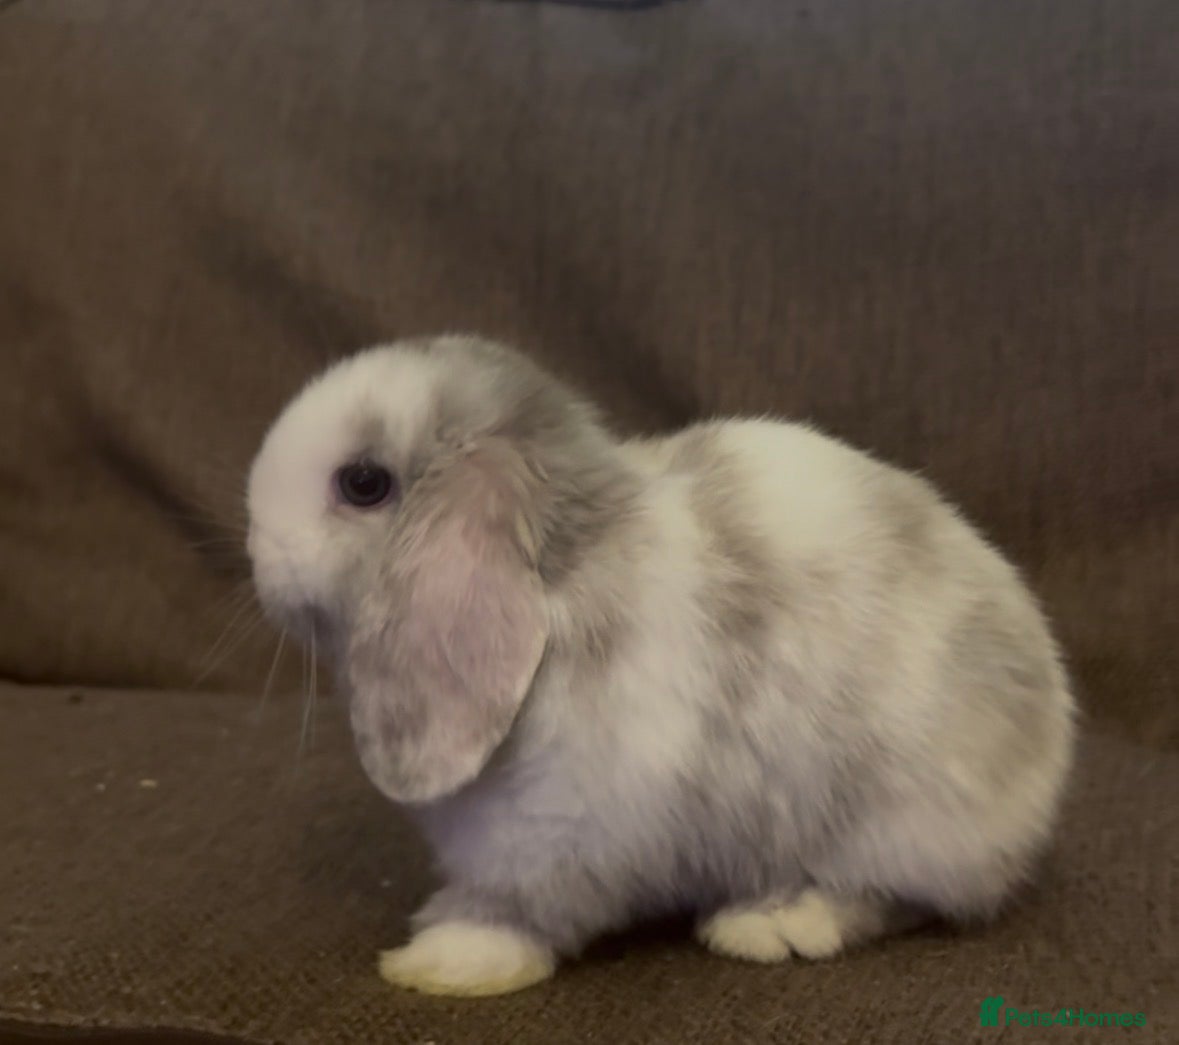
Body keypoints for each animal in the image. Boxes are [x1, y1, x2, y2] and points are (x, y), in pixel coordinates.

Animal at [246, 335, 1076, 997]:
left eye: (362, 482)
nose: (256, 547)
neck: (563, 573)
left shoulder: (560, 827)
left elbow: (529, 907)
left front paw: (449, 957)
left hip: (898, 827)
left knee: (897, 898)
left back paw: (772, 920)